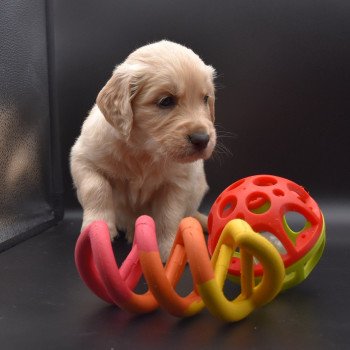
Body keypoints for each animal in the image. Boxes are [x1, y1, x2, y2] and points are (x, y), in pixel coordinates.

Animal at [70, 41, 216, 260]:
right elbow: (96, 188)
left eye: (205, 98)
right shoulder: (83, 159)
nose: (202, 139)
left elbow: (168, 214)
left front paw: (168, 248)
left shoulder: (177, 183)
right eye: (166, 101)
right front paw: (98, 225)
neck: (145, 150)